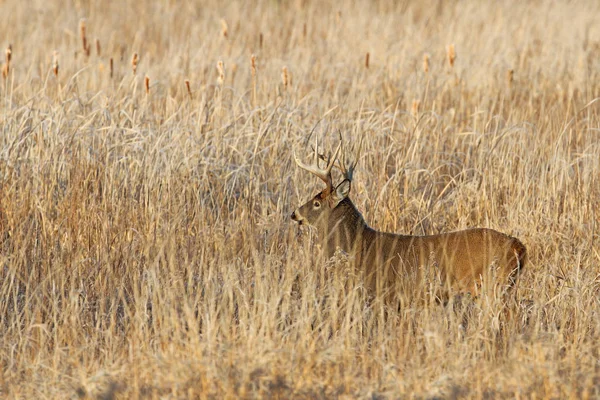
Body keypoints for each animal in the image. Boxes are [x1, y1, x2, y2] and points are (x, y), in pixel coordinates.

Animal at [290, 138, 524, 304]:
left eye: (316, 202)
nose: (294, 214)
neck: (358, 245)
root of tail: (518, 246)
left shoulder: (383, 291)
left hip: (493, 285)